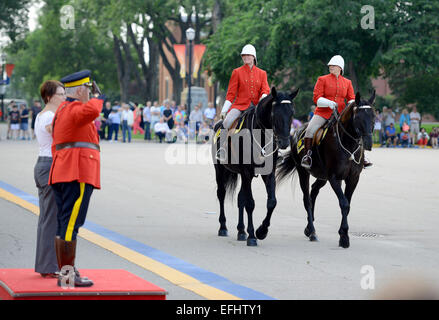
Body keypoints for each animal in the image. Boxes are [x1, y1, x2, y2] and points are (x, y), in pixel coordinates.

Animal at [212, 86, 300, 246]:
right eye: (275, 113)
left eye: (292, 113)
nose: (284, 142)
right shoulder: (247, 173)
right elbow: (250, 203)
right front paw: (252, 236)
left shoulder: (268, 173)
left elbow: (271, 202)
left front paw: (261, 231)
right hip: (220, 170)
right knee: (221, 194)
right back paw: (223, 227)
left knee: (240, 197)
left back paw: (241, 231)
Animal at [278, 90, 374, 248]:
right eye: (358, 116)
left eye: (373, 115)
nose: (369, 143)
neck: (348, 144)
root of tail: (296, 131)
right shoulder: (333, 177)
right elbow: (344, 204)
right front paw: (344, 237)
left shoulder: (353, 178)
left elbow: (347, 204)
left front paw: (342, 233)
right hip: (303, 171)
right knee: (307, 199)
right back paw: (312, 232)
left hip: (322, 176)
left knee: (314, 191)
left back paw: (308, 228)